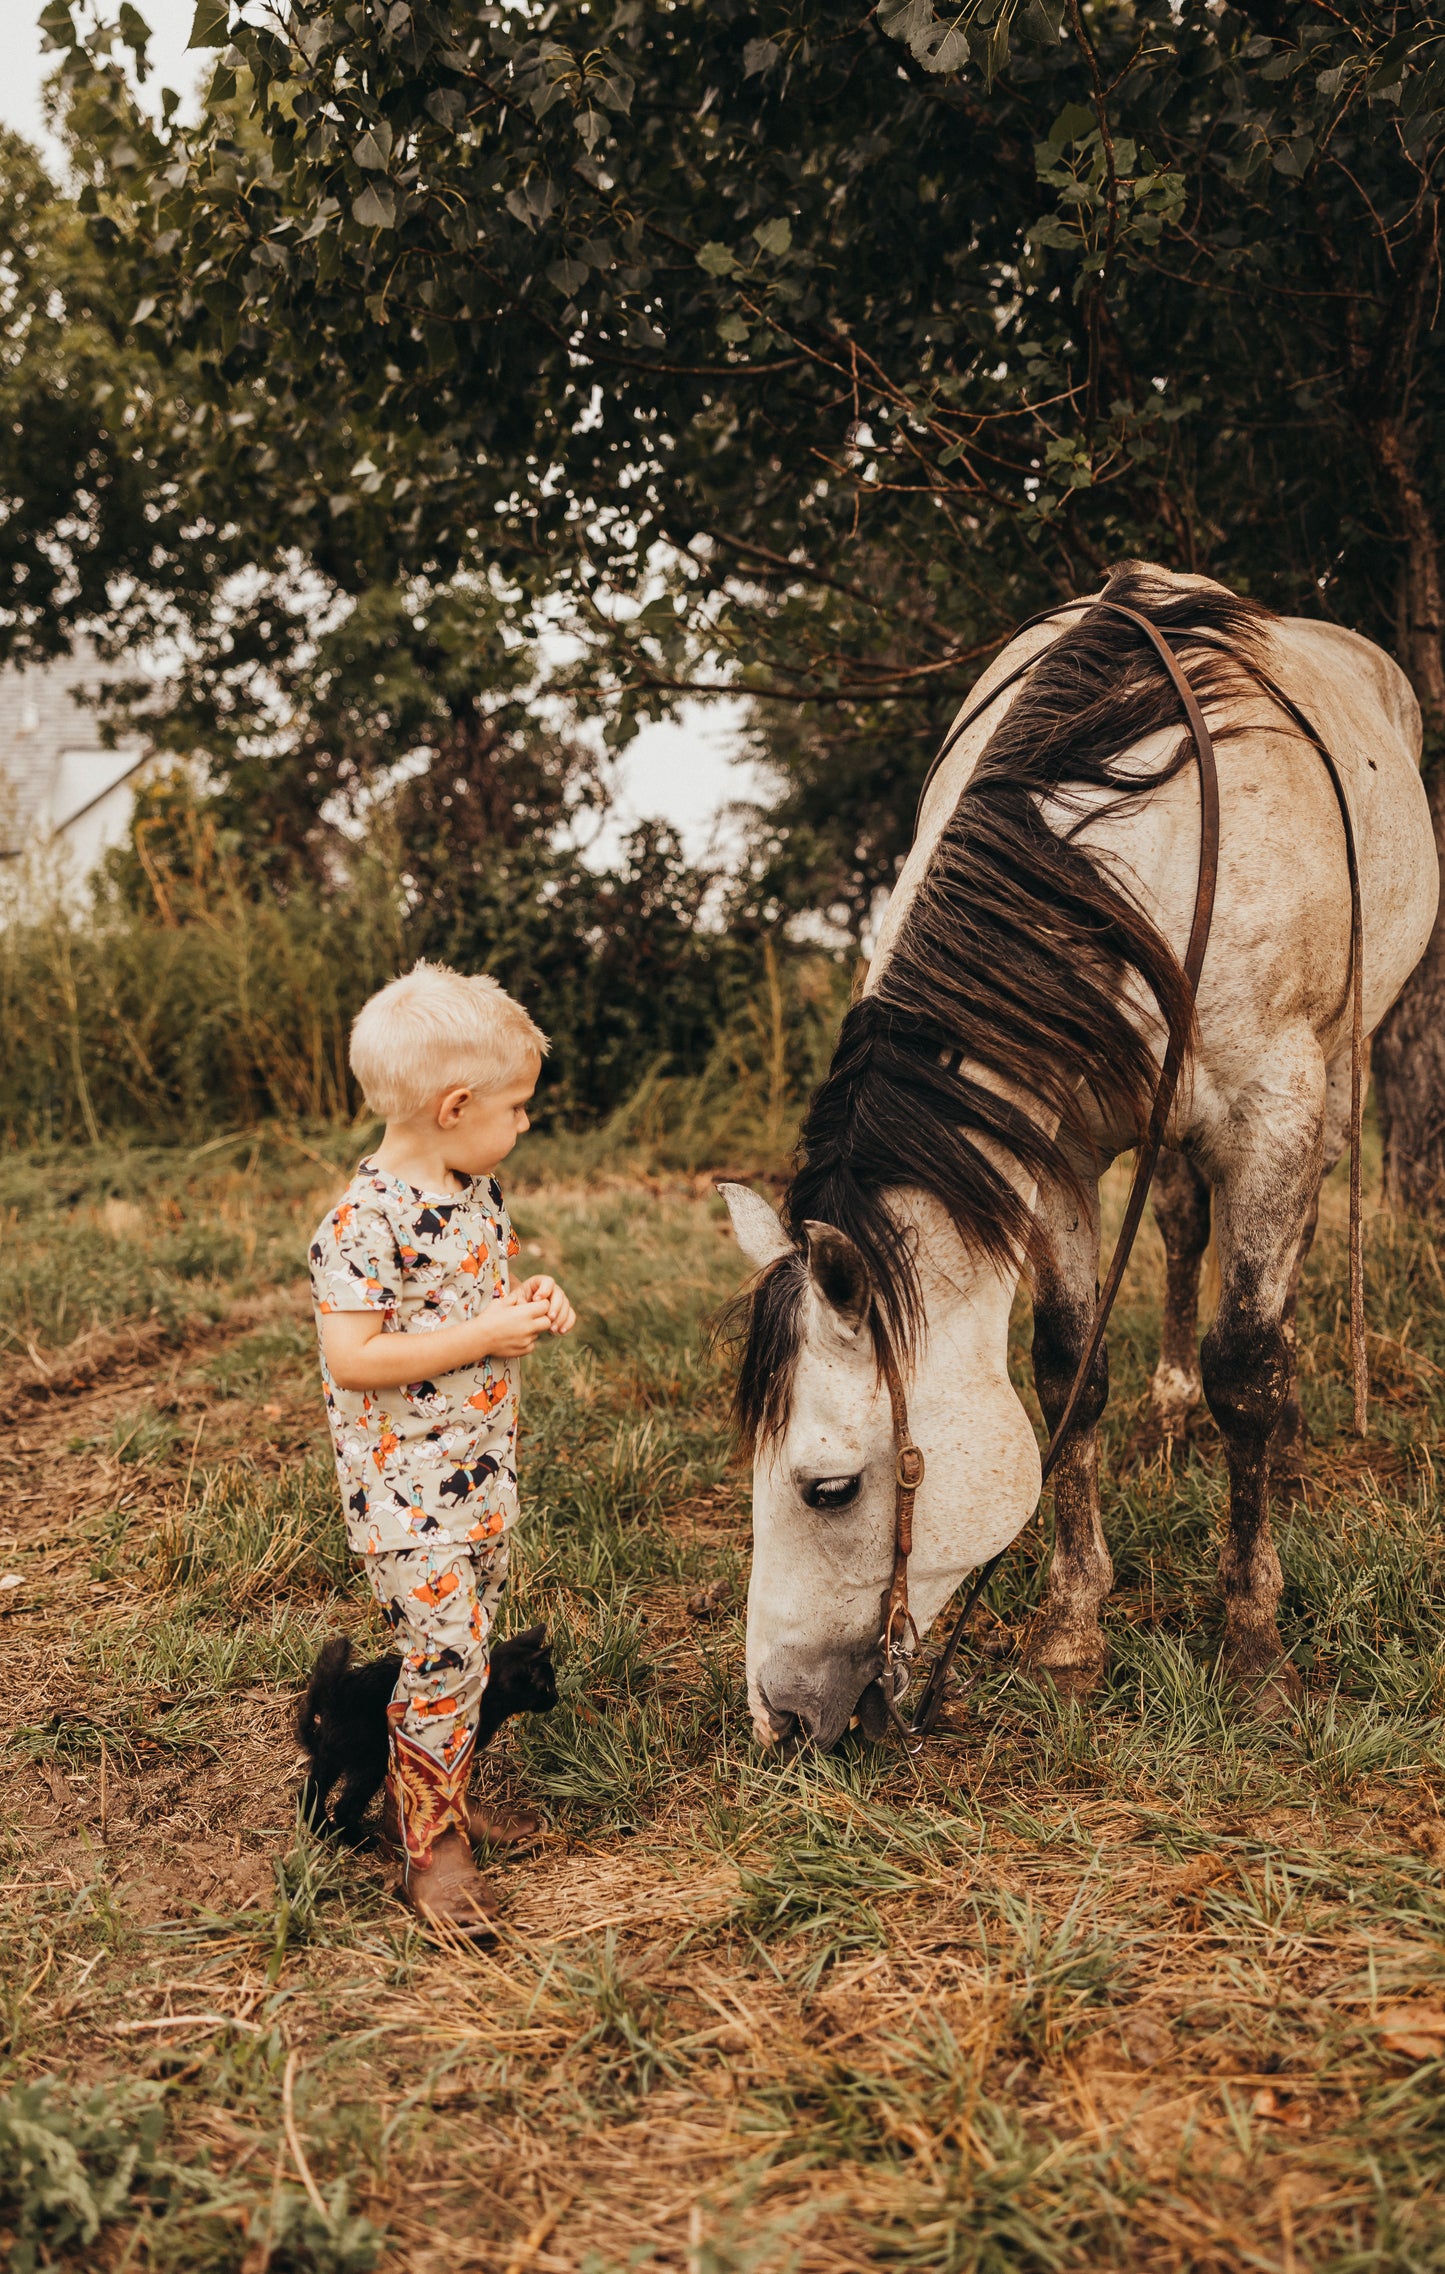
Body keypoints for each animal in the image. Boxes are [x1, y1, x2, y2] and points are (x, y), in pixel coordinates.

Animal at [295, 1628, 557, 1837]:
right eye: (547, 1686)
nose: (556, 1698)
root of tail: (332, 1697)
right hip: (369, 1763)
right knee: (344, 1806)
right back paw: (359, 1841)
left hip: (331, 1757)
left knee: (309, 1792)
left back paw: (321, 1832)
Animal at [723, 559, 1438, 1746]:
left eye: (828, 1489)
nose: (776, 1718)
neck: (1127, 863)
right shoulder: (1055, 1150)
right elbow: (1069, 1371)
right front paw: (1069, 1630)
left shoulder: (1274, 1116)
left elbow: (1246, 1368)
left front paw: (1251, 1639)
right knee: (1184, 1228)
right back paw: (1171, 1401)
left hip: (1336, 1085)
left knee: (1279, 1282)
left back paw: (1287, 1444)